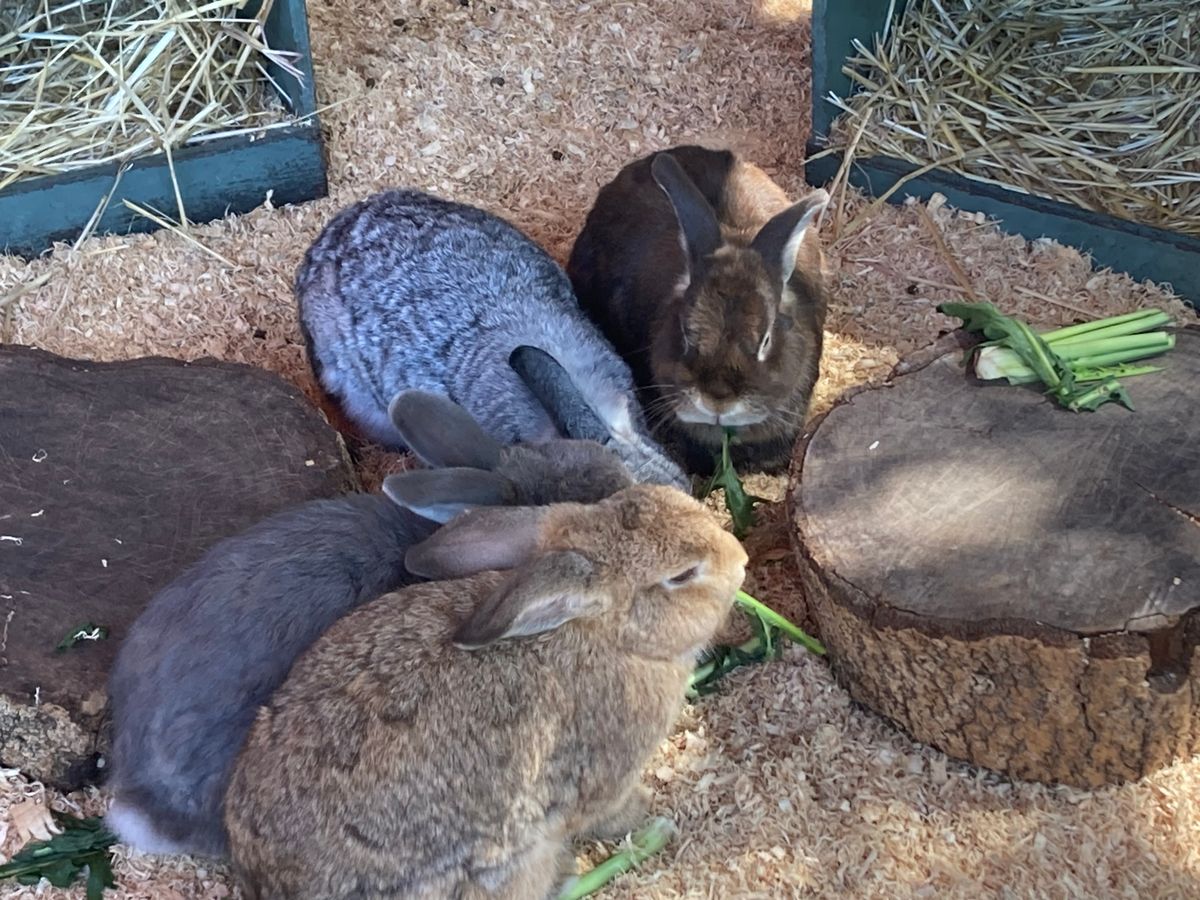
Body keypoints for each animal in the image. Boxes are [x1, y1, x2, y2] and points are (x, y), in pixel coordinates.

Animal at [224, 482, 748, 900]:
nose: (740, 559)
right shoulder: (604, 781)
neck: (601, 630)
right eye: (682, 575)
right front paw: (648, 812)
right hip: (510, 869)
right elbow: (611, 812)